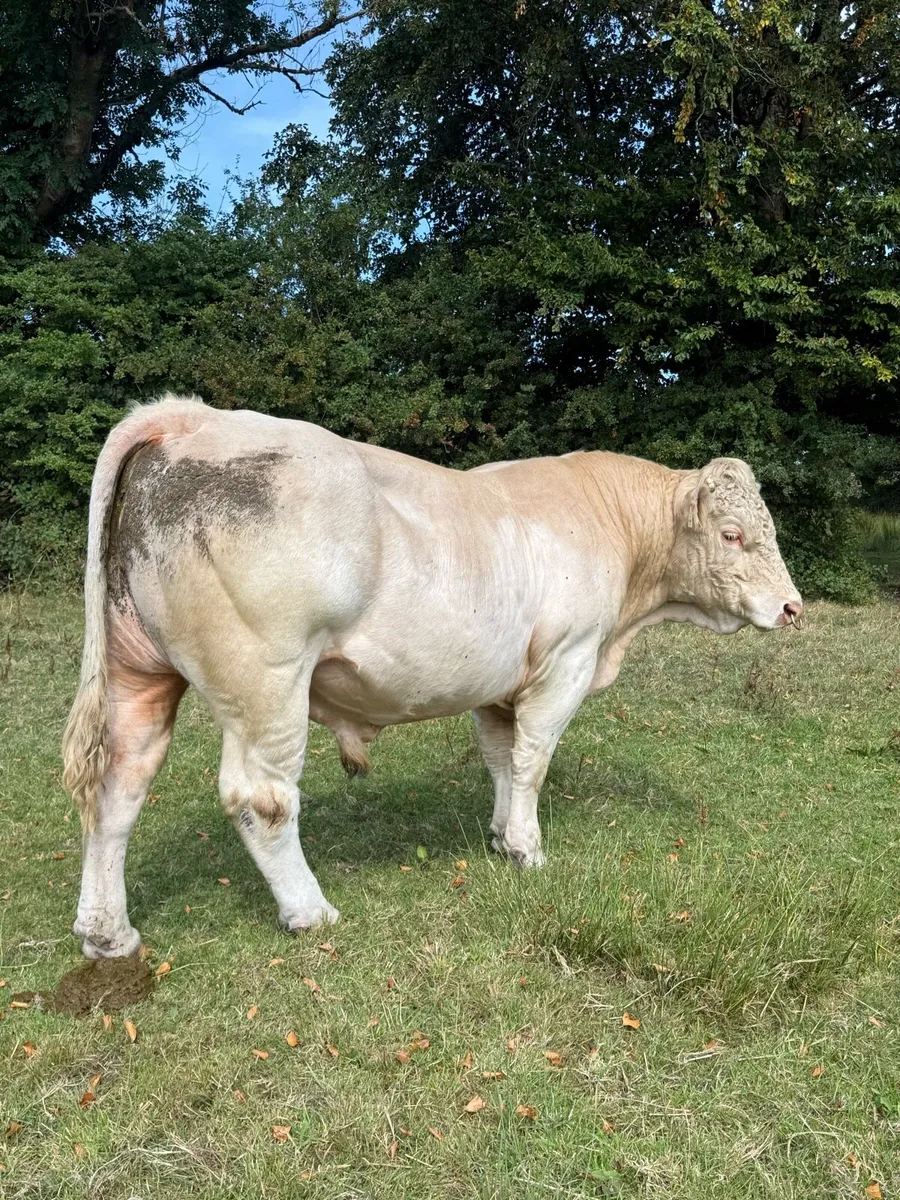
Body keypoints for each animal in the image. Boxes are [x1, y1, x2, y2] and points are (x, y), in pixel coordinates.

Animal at [62, 394, 802, 958]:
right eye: (733, 534)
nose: (793, 607)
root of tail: (193, 418)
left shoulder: (499, 682)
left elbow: (501, 759)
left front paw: (502, 838)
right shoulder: (566, 661)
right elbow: (533, 760)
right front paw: (530, 850)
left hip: (138, 669)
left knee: (117, 785)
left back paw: (107, 932)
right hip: (266, 680)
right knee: (261, 798)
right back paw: (310, 911)